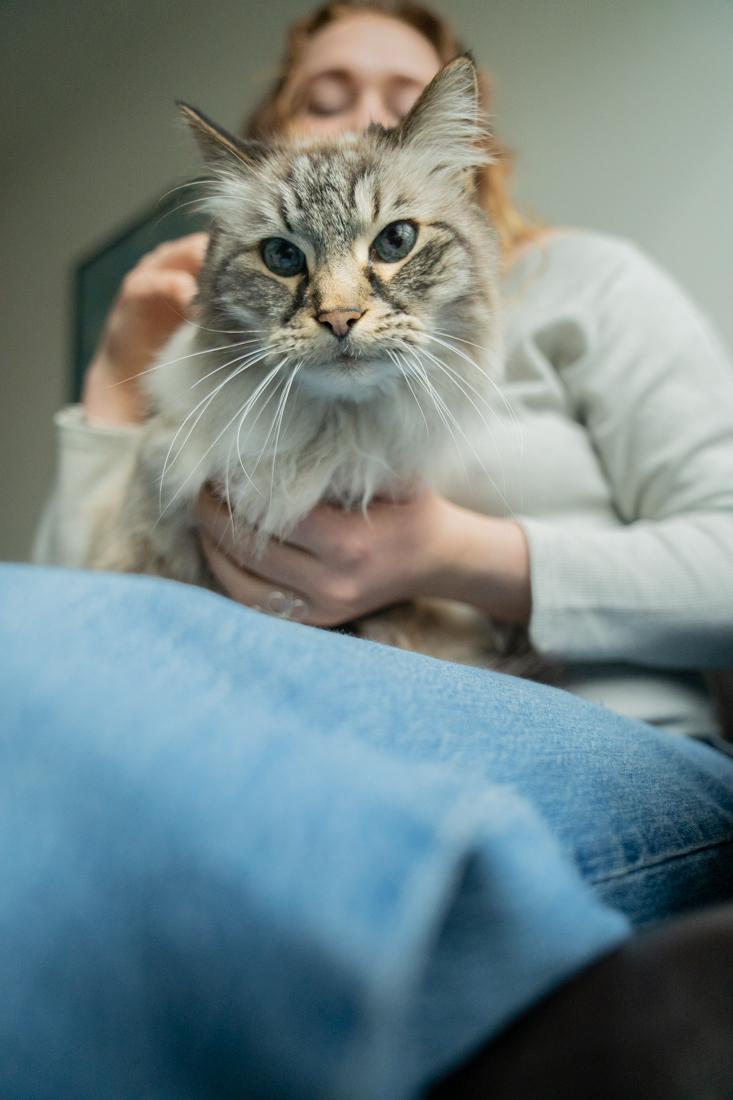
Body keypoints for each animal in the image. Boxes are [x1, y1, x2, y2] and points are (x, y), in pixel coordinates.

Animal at [86, 60, 548, 682]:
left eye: (395, 241)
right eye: (282, 257)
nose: (339, 317)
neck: (327, 443)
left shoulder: (399, 606)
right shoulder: (150, 534)